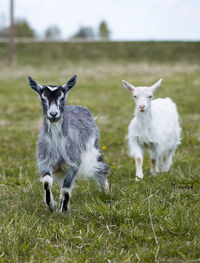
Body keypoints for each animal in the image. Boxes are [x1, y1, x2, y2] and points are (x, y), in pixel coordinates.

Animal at [27, 73, 109, 212]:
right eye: (43, 98)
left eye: (62, 97)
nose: (53, 114)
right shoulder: (44, 161)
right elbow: (47, 182)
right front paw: (51, 205)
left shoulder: (74, 163)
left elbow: (66, 189)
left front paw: (63, 211)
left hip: (95, 148)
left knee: (101, 168)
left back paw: (105, 190)